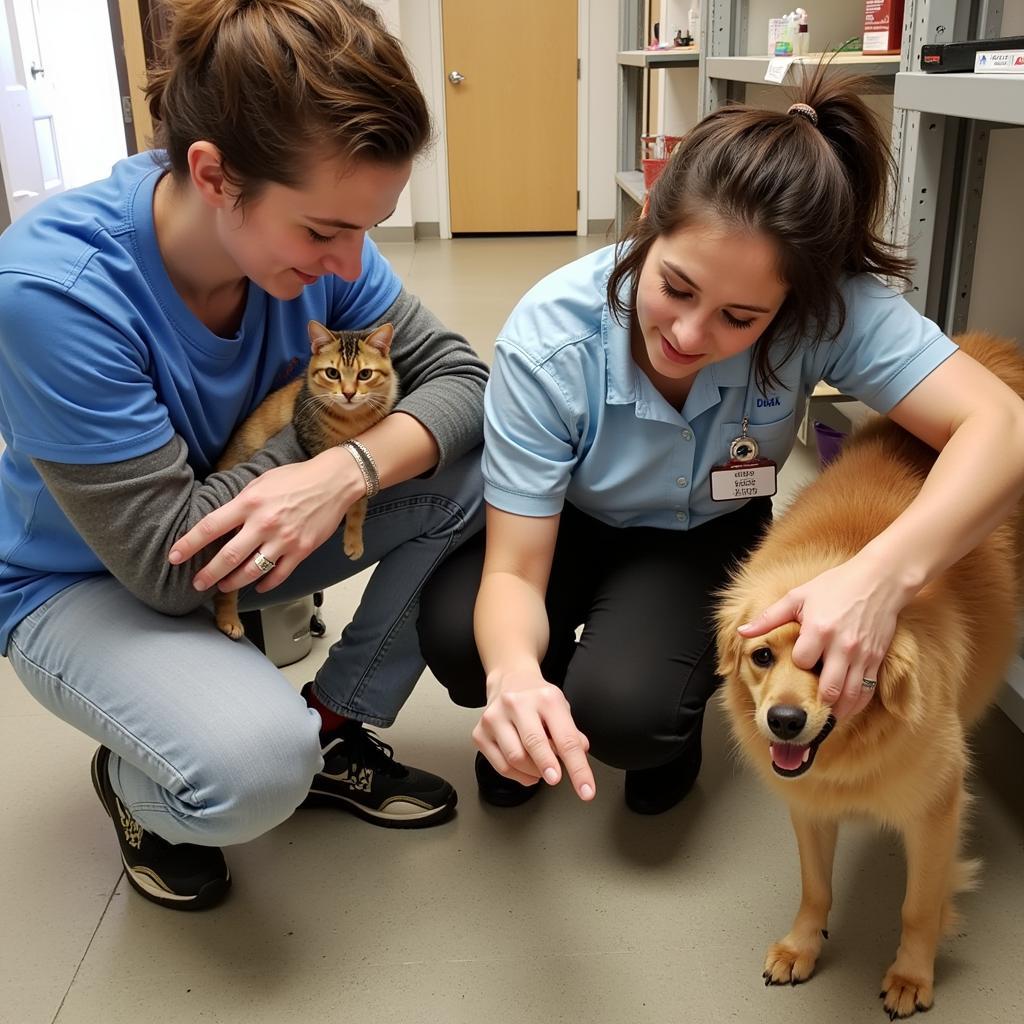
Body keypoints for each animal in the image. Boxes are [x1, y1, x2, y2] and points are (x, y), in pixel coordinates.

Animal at [211, 319, 395, 638]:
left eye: (365, 374)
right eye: (333, 373)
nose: (348, 393)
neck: (352, 422)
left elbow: (358, 502)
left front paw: (354, 540)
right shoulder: (318, 450)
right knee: (224, 587)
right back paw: (228, 620)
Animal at [712, 333, 1024, 1015]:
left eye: (832, 660)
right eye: (762, 657)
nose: (784, 721)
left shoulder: (936, 811)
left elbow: (918, 907)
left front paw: (912, 974)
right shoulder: (808, 804)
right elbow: (815, 888)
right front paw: (803, 946)